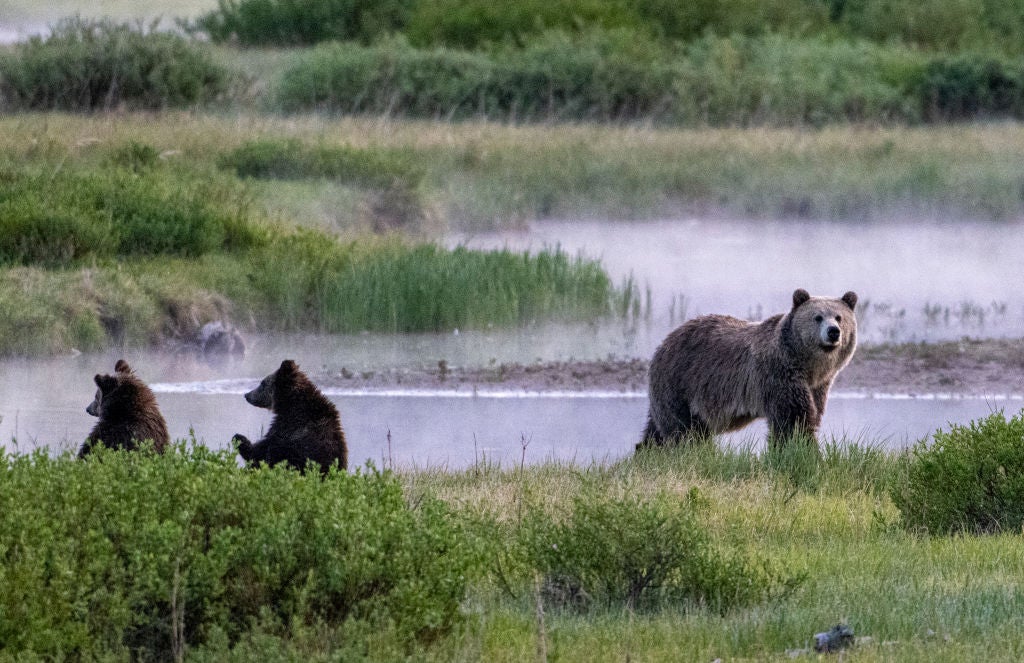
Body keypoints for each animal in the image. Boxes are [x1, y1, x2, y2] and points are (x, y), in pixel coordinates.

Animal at [637, 288, 858, 451]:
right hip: (681, 382)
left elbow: (812, 413)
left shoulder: (817, 386)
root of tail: (665, 341)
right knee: (683, 429)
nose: (833, 332)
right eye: (818, 317)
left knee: (656, 428)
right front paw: (805, 451)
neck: (809, 367)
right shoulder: (778, 374)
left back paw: (646, 450)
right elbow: (793, 420)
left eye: (839, 317)